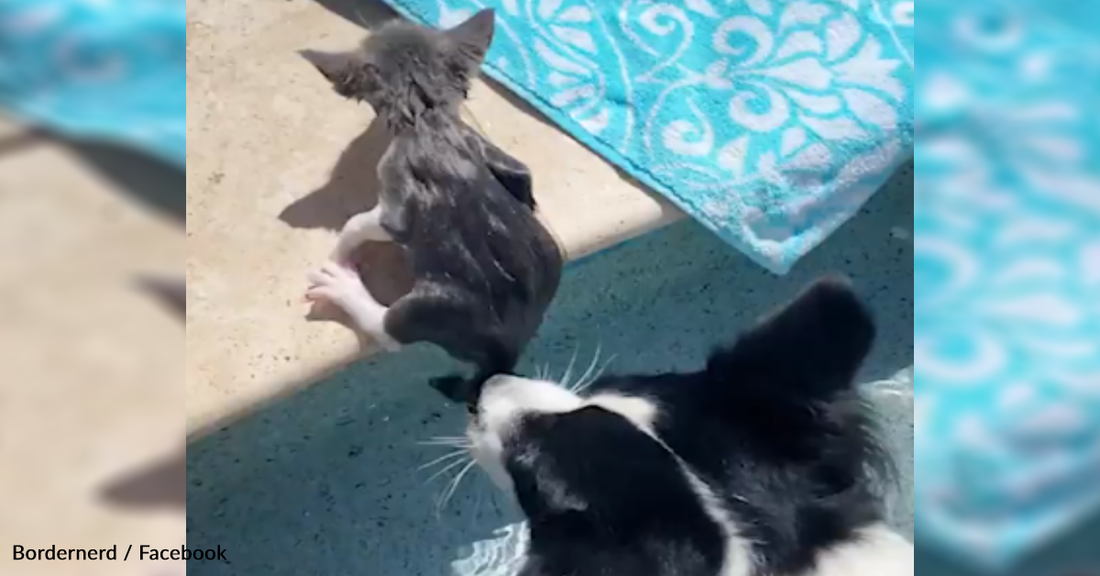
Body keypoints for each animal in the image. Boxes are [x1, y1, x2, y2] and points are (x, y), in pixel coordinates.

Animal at [299, 10, 558, 404]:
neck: (426, 116)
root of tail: (507, 351)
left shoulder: (393, 202)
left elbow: (358, 223)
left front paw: (341, 249)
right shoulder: (491, 152)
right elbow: (521, 176)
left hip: (421, 307)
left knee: (388, 332)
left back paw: (342, 287)